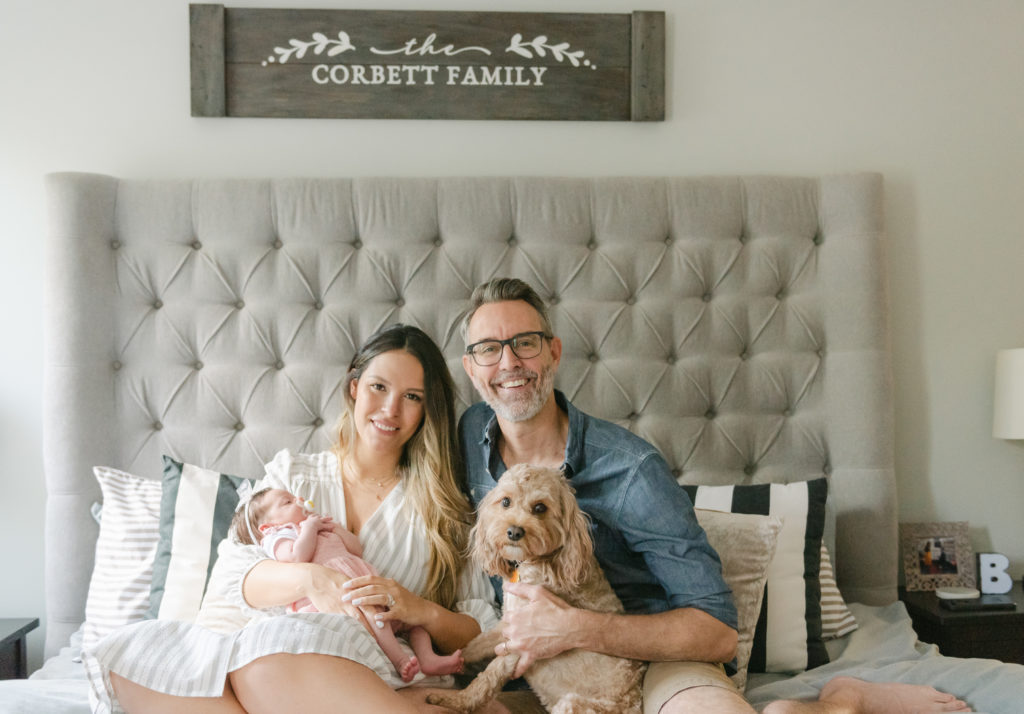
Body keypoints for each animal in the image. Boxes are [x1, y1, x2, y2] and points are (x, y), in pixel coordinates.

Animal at [428, 465, 643, 708]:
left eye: (540, 507)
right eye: (505, 501)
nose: (514, 531)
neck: (535, 562)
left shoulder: (523, 640)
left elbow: (488, 677)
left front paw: (454, 700)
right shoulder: (508, 623)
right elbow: (475, 645)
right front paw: (448, 661)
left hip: (572, 704)